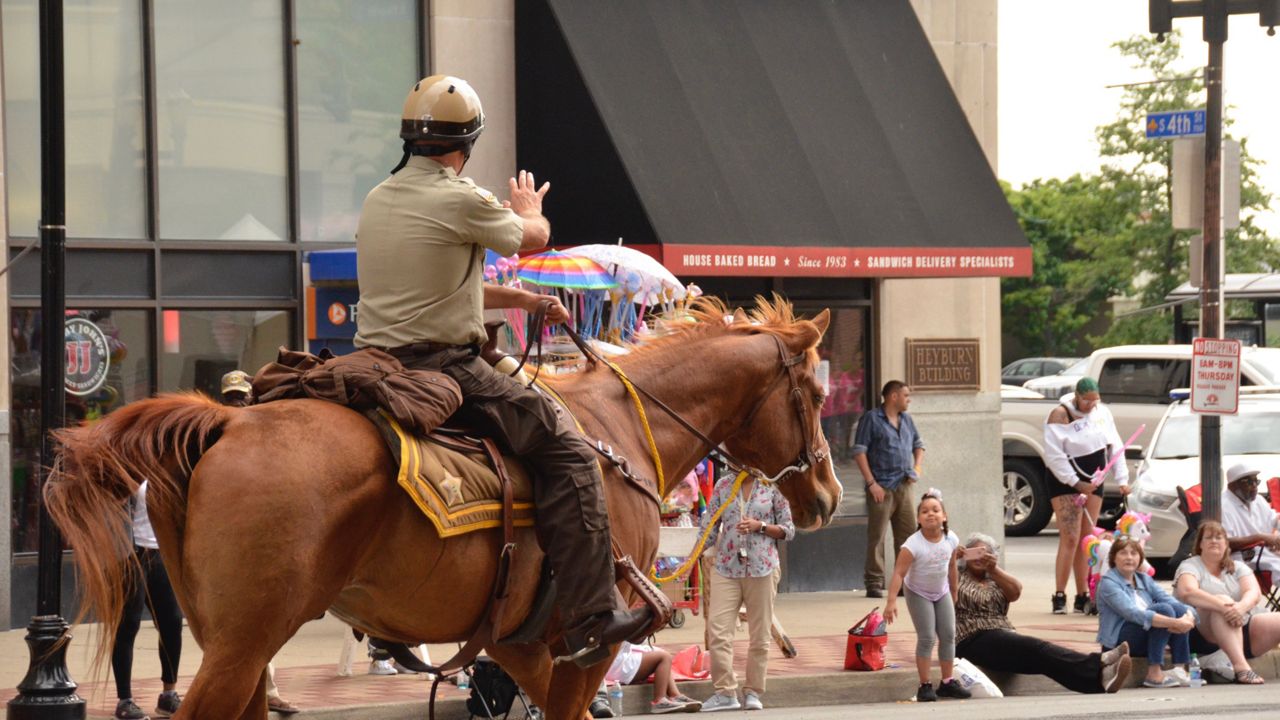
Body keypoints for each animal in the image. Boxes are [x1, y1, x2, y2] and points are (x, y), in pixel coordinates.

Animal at [42, 293, 839, 717]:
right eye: (816, 392)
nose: (829, 494)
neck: (619, 431)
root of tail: (228, 421)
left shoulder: (520, 643)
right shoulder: (591, 642)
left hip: (230, 641)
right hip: (244, 643)